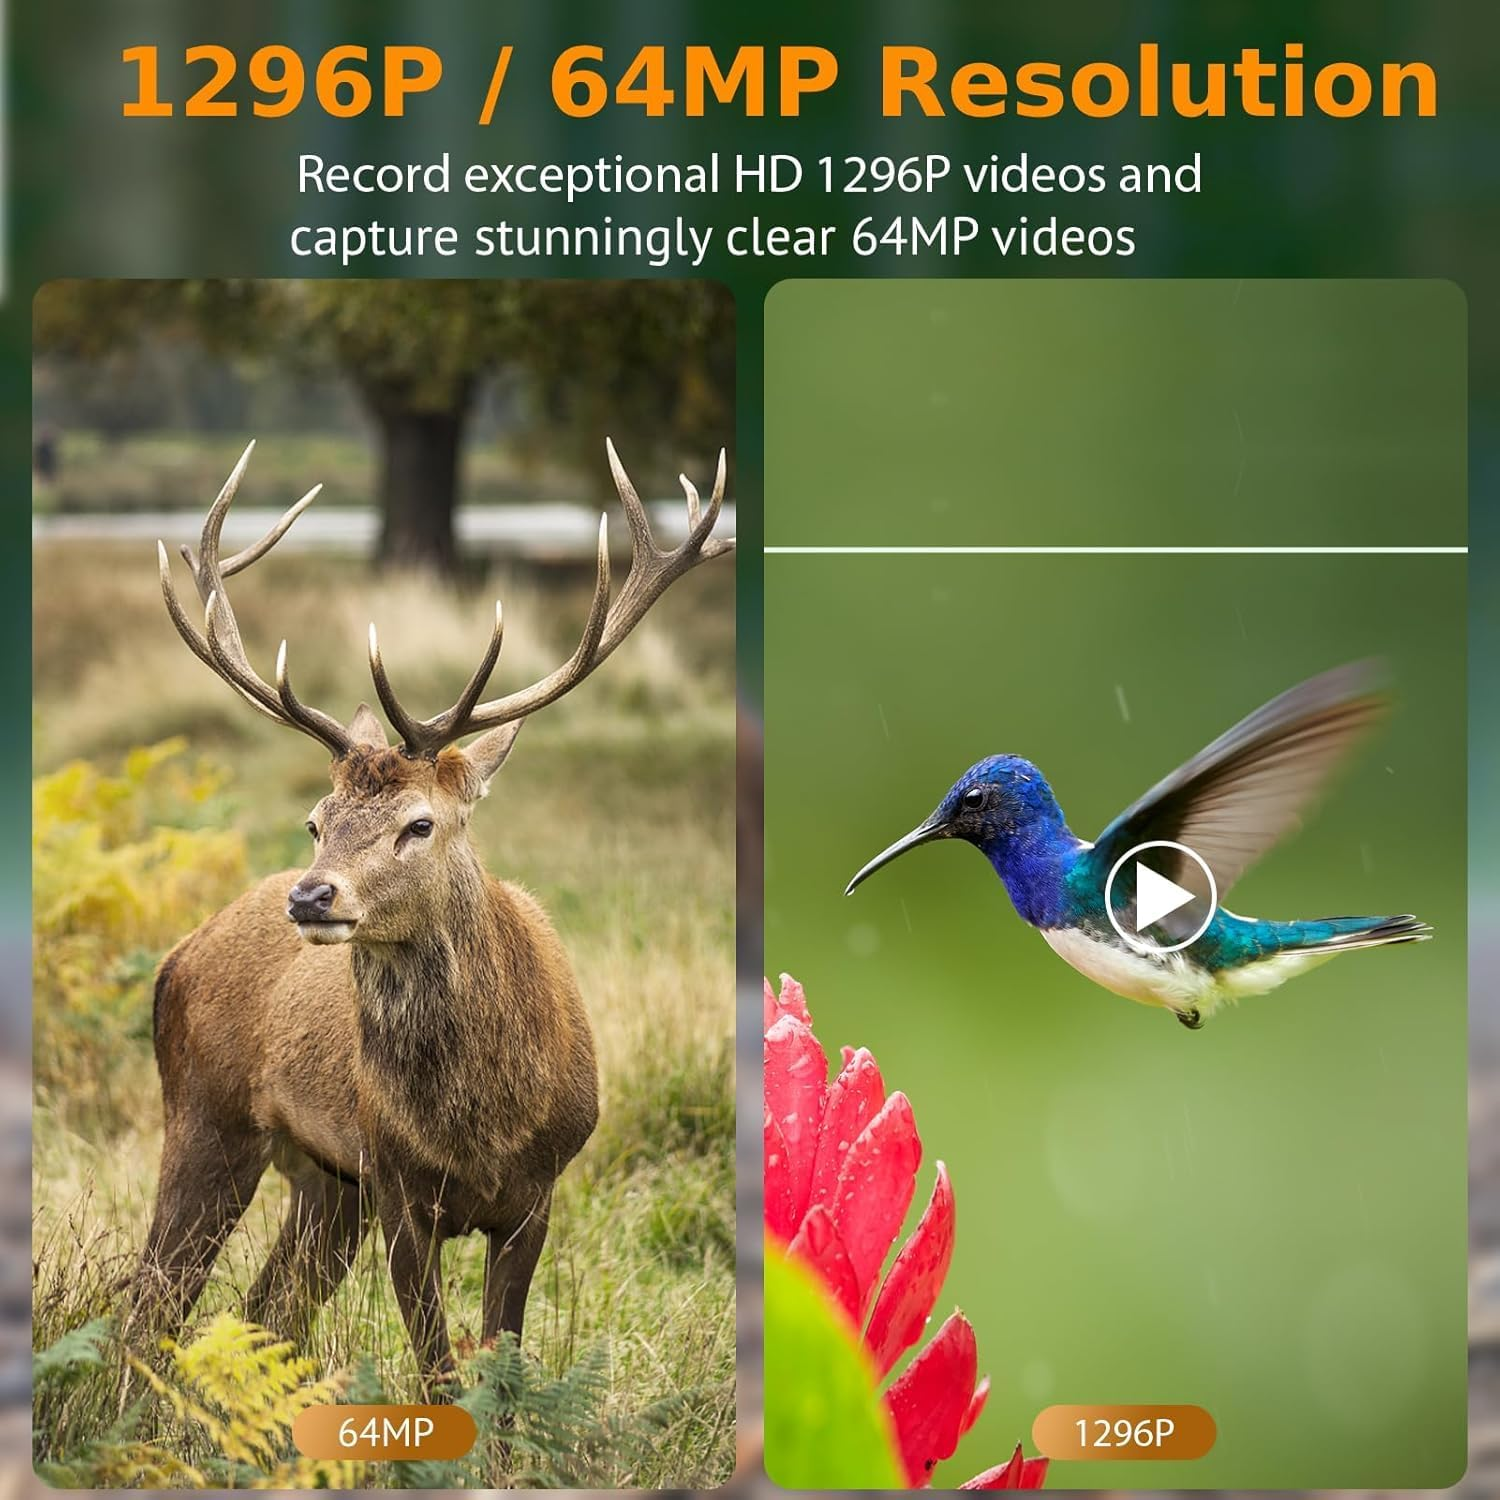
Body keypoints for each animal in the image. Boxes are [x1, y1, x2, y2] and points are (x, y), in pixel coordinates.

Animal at [133, 438, 733, 1393]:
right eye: (317, 821)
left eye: (420, 824)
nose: (311, 895)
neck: (477, 1126)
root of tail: (178, 954)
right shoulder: (397, 1189)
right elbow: (439, 1372)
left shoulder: (536, 1193)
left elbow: (504, 1367)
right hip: (207, 1116)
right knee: (150, 1303)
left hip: (322, 1184)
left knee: (263, 1311)